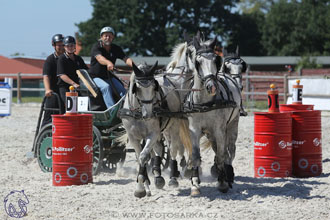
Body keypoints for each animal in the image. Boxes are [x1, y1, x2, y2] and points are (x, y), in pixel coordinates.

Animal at [120, 62, 165, 198]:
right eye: (137, 88)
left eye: (154, 87)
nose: (149, 114)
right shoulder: (133, 137)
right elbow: (140, 157)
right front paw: (141, 187)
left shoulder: (154, 133)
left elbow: (144, 156)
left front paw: (141, 187)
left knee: (158, 149)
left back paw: (158, 177)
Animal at [184, 34, 241, 194]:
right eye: (197, 62)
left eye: (216, 60)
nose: (212, 86)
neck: (204, 102)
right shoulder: (194, 129)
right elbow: (196, 156)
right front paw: (195, 184)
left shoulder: (219, 129)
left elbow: (222, 155)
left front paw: (222, 182)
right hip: (210, 132)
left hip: (233, 124)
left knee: (230, 150)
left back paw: (228, 174)